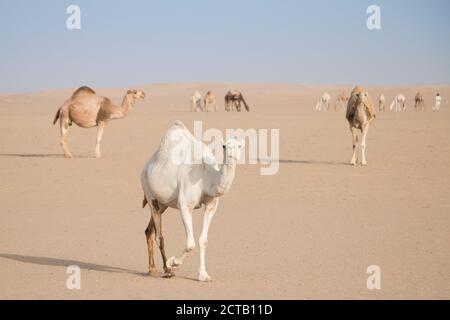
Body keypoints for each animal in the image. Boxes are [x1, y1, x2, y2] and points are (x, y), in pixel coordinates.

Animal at [142, 121, 244, 282]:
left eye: (239, 146)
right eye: (224, 146)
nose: (232, 155)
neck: (206, 176)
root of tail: (146, 166)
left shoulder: (211, 205)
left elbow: (203, 240)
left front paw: (203, 275)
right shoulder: (185, 205)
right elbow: (191, 243)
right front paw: (173, 263)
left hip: (163, 203)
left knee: (149, 231)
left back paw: (152, 268)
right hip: (149, 193)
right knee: (159, 235)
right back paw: (167, 270)